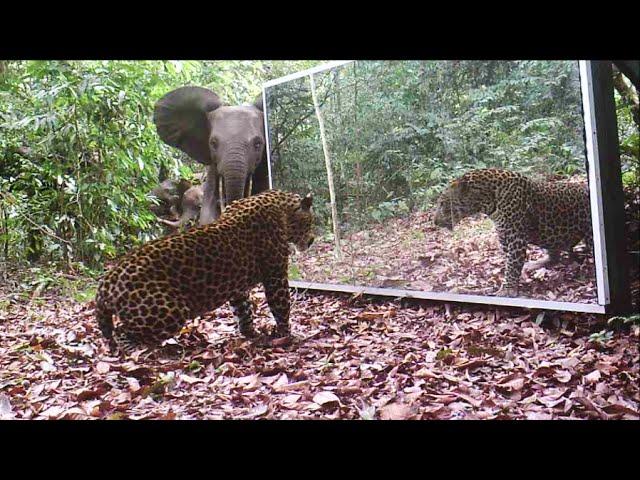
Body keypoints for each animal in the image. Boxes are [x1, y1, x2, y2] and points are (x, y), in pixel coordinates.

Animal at [94, 188, 316, 352]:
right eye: (310, 221)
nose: (312, 240)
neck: (282, 209)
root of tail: (107, 282)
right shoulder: (275, 275)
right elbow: (281, 307)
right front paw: (287, 335)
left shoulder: (238, 288)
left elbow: (243, 311)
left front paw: (251, 334)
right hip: (168, 311)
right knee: (122, 332)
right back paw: (141, 351)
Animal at [432, 169, 592, 296]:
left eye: (442, 203)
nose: (435, 222)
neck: (487, 199)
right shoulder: (504, 236)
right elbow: (509, 261)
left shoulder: (516, 238)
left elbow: (512, 263)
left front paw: (507, 289)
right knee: (554, 257)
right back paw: (534, 264)